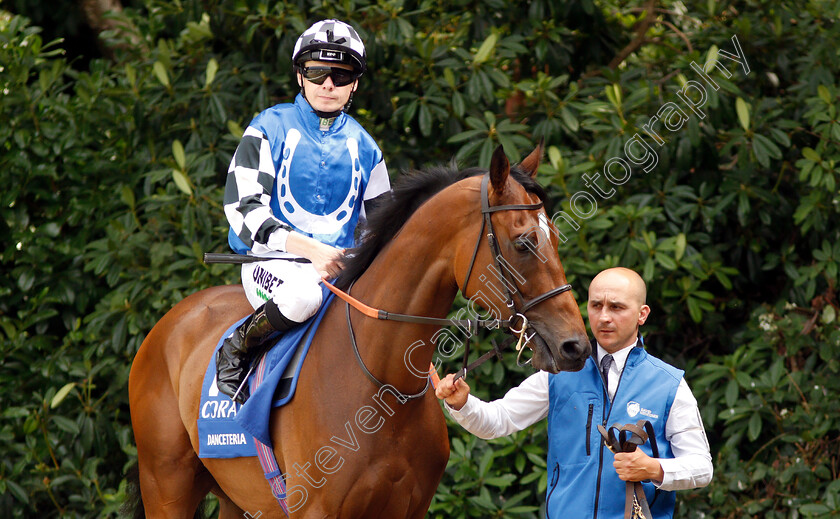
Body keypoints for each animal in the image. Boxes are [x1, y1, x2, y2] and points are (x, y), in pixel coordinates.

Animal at [128, 144, 588, 516]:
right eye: (524, 242)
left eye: (555, 237)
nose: (575, 346)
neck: (383, 386)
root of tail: (168, 324)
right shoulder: (316, 511)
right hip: (166, 485)